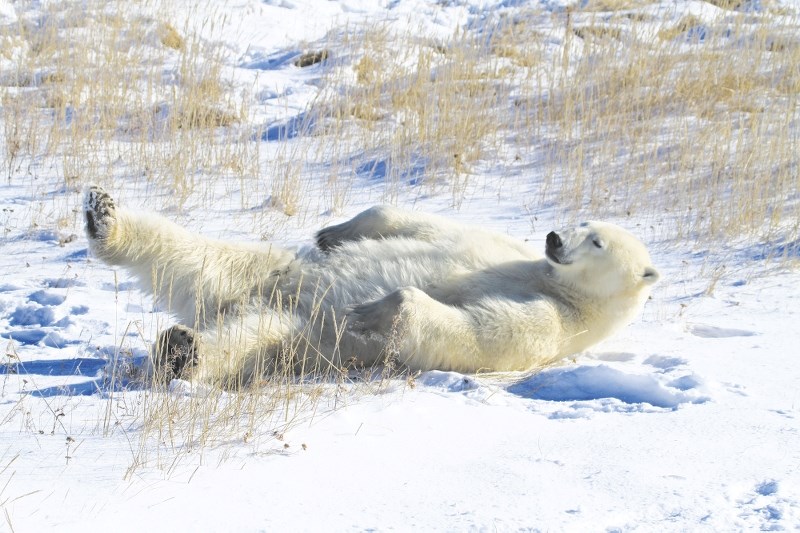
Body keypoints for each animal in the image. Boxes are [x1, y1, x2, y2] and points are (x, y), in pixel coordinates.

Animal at [84, 185, 660, 384]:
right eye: (582, 223)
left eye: (597, 243)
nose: (555, 238)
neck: (555, 282)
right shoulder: (502, 248)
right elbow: (420, 225)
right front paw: (334, 232)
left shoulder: (555, 323)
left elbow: (477, 330)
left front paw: (376, 307)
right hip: (272, 274)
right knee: (193, 254)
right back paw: (103, 216)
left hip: (305, 334)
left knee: (247, 339)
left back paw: (183, 351)